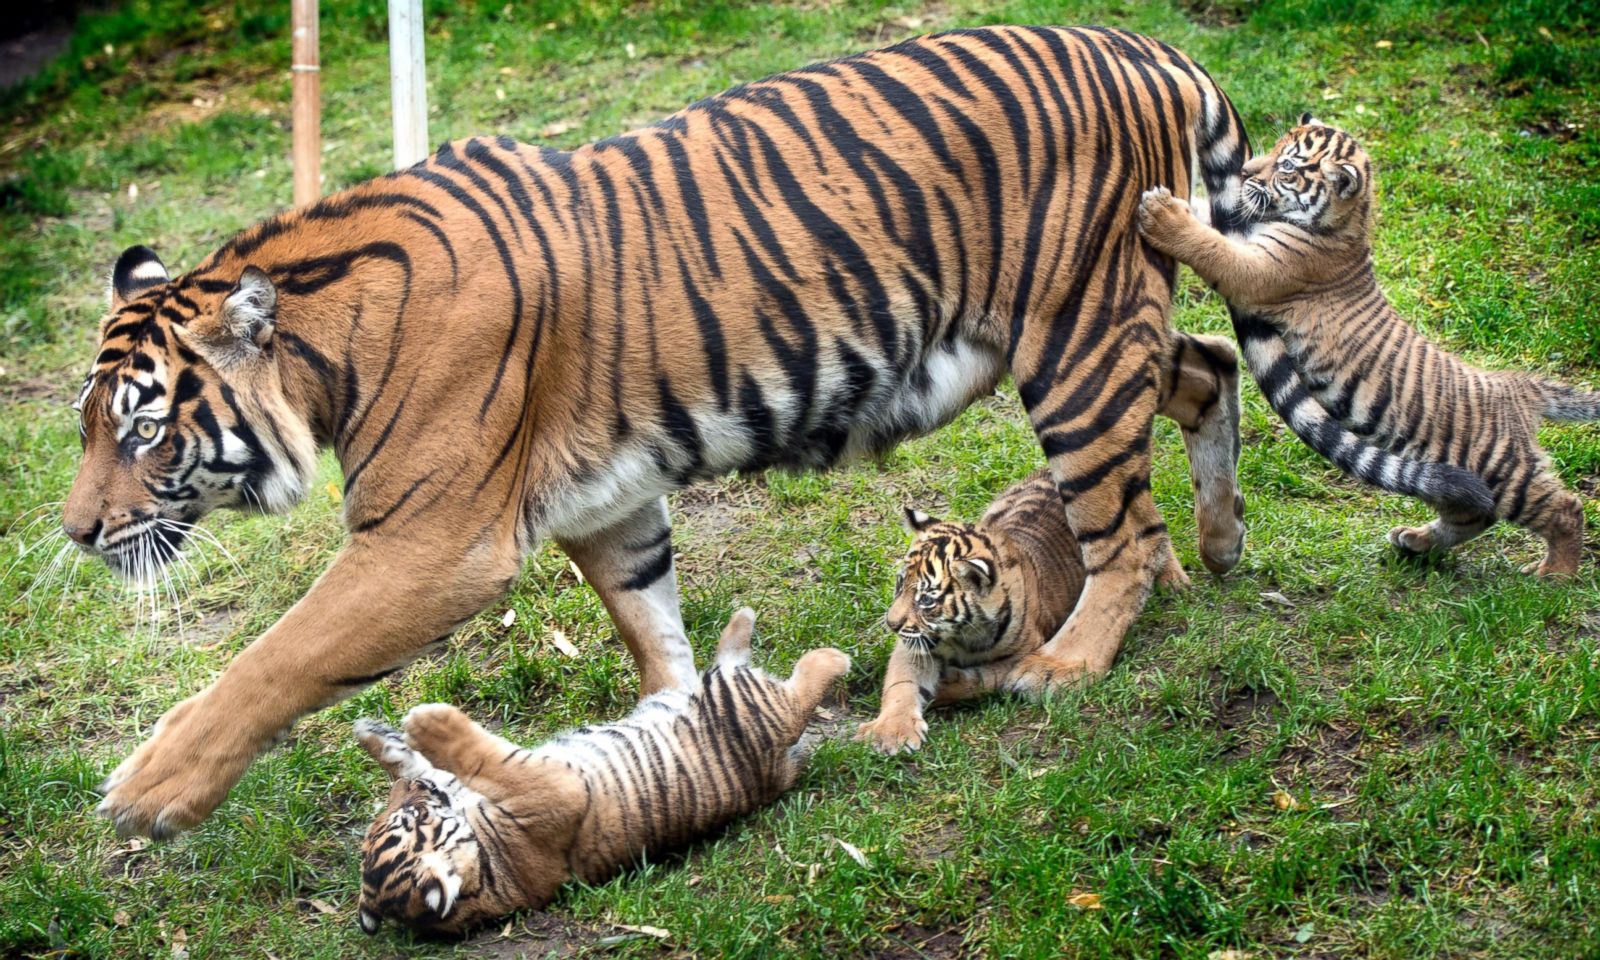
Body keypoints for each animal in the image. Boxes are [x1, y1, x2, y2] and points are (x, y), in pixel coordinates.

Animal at [68, 24, 1254, 838]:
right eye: (86, 428)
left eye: (141, 429)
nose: (77, 534)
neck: (323, 357)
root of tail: (1145, 47)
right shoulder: (609, 501)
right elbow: (652, 627)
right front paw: (683, 734)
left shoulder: (430, 543)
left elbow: (279, 658)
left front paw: (146, 790)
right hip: (1107, 331)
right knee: (1208, 368)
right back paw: (1219, 545)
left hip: (1073, 342)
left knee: (1120, 529)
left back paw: (1073, 661)